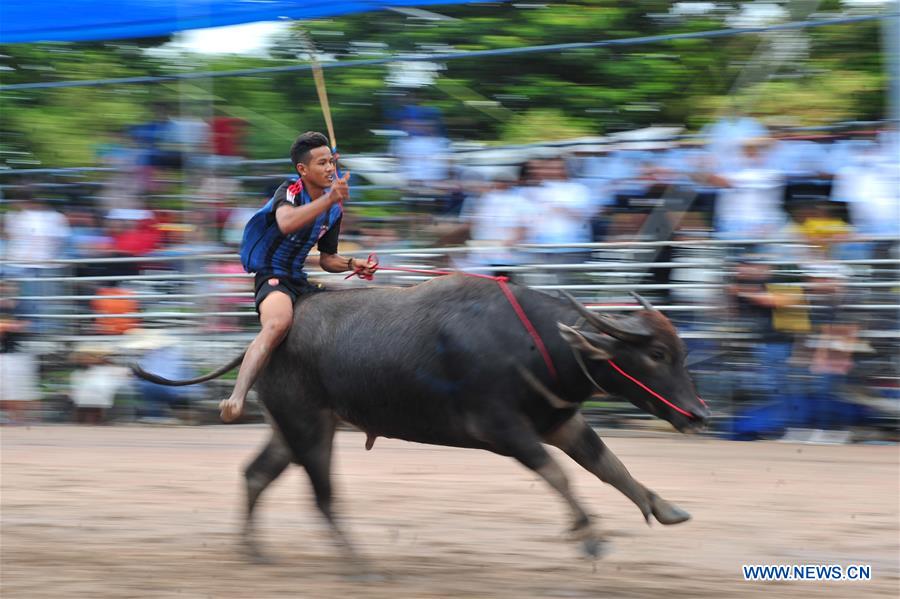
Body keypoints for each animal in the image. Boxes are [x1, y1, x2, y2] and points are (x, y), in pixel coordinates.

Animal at [134, 274, 710, 561]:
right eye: (656, 353)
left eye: (680, 351)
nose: (699, 413)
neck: (536, 344)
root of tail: (267, 336)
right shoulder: (503, 430)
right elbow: (560, 475)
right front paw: (588, 536)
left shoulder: (559, 422)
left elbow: (609, 466)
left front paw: (665, 508)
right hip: (308, 426)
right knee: (321, 496)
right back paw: (361, 566)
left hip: (295, 426)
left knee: (256, 475)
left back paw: (255, 553)